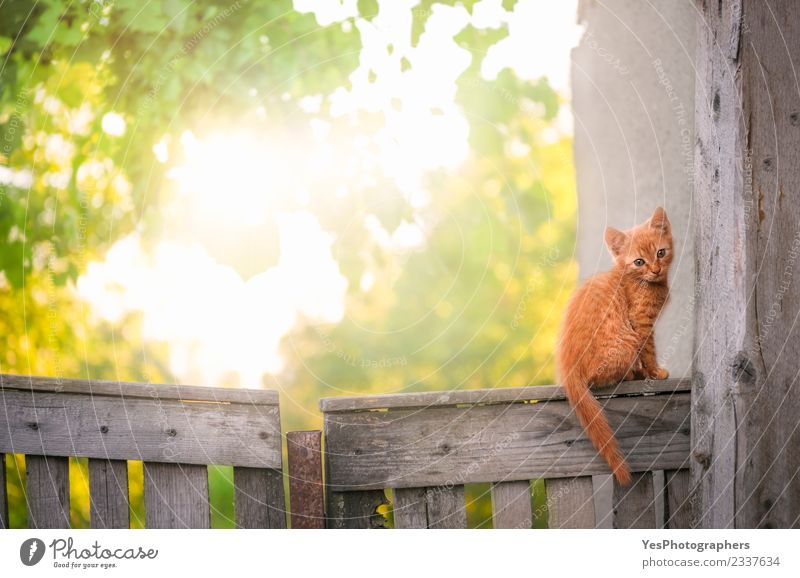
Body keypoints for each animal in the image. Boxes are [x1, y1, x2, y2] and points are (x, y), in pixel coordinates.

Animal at [556, 205, 676, 484]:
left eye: (660, 253)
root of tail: (568, 368)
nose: (656, 269)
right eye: (639, 262)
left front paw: (648, 371)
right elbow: (649, 350)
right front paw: (654, 371)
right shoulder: (640, 323)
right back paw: (632, 374)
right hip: (627, 341)